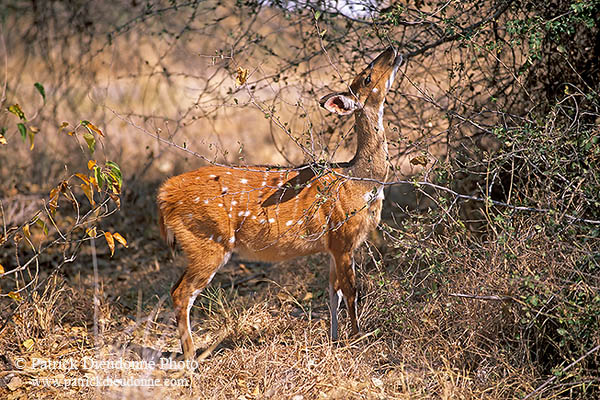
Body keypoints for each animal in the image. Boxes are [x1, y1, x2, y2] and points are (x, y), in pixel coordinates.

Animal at [159, 46, 404, 360]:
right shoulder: (344, 237)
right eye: (367, 77)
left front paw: (335, 340)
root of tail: (164, 194)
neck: (361, 181)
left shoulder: (332, 246)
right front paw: (358, 339)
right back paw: (192, 358)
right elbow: (351, 291)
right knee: (181, 294)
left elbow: (333, 293)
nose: (392, 50)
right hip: (208, 241)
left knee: (175, 289)